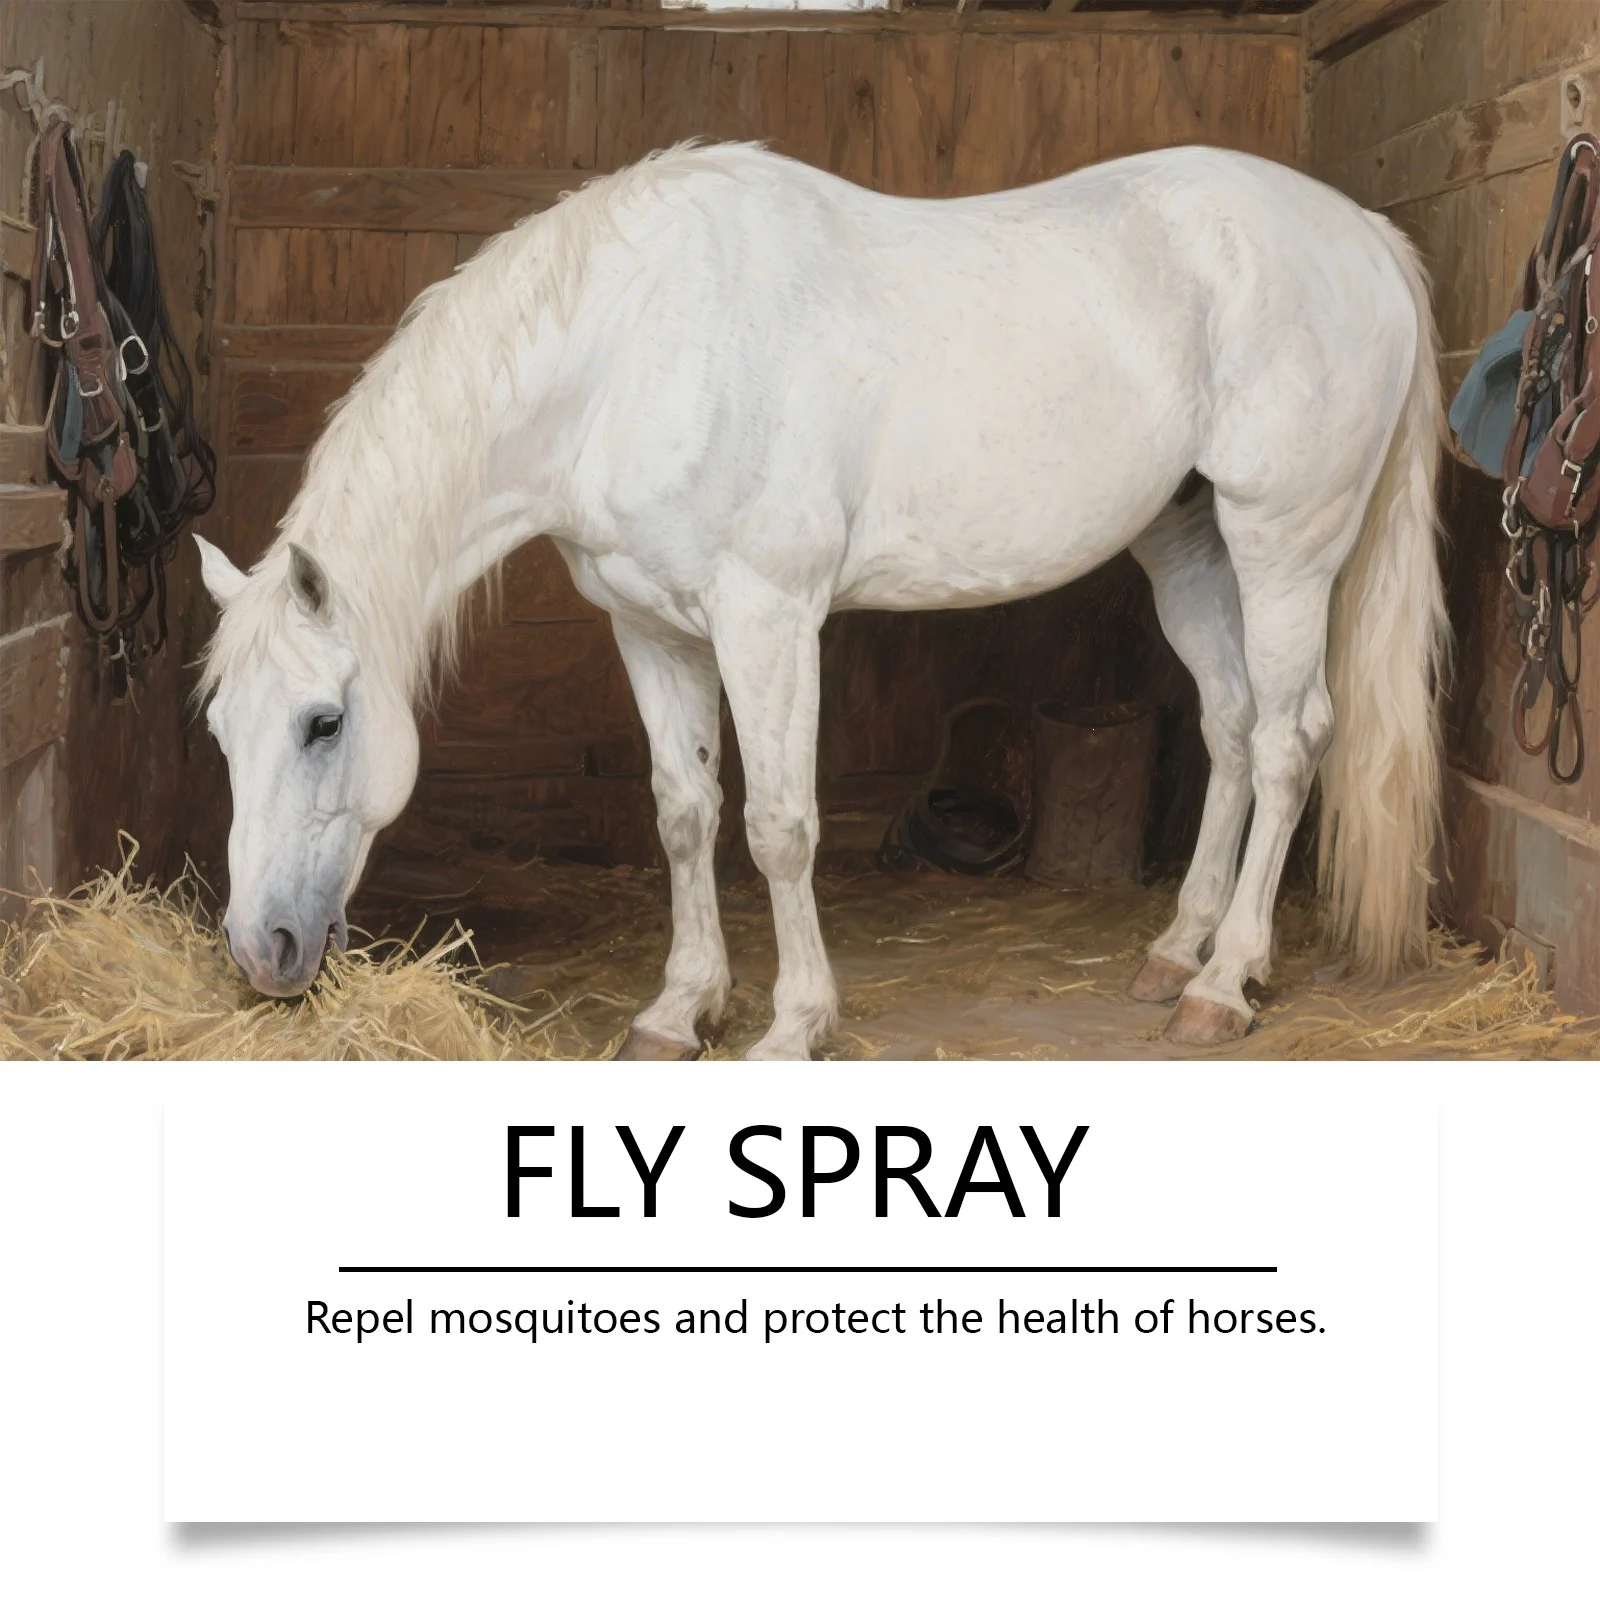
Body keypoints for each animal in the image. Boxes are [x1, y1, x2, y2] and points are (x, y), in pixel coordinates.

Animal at [196, 140, 1447, 1060]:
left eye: (323, 723)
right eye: (219, 731)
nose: (262, 950)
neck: (627, 349)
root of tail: (1364, 236)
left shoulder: (768, 620)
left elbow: (779, 826)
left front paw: (794, 1026)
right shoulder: (649, 631)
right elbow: (684, 813)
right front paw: (678, 1011)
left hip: (1284, 549)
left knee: (1288, 743)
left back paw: (1224, 985)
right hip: (1190, 547)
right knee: (1233, 730)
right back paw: (1176, 952)